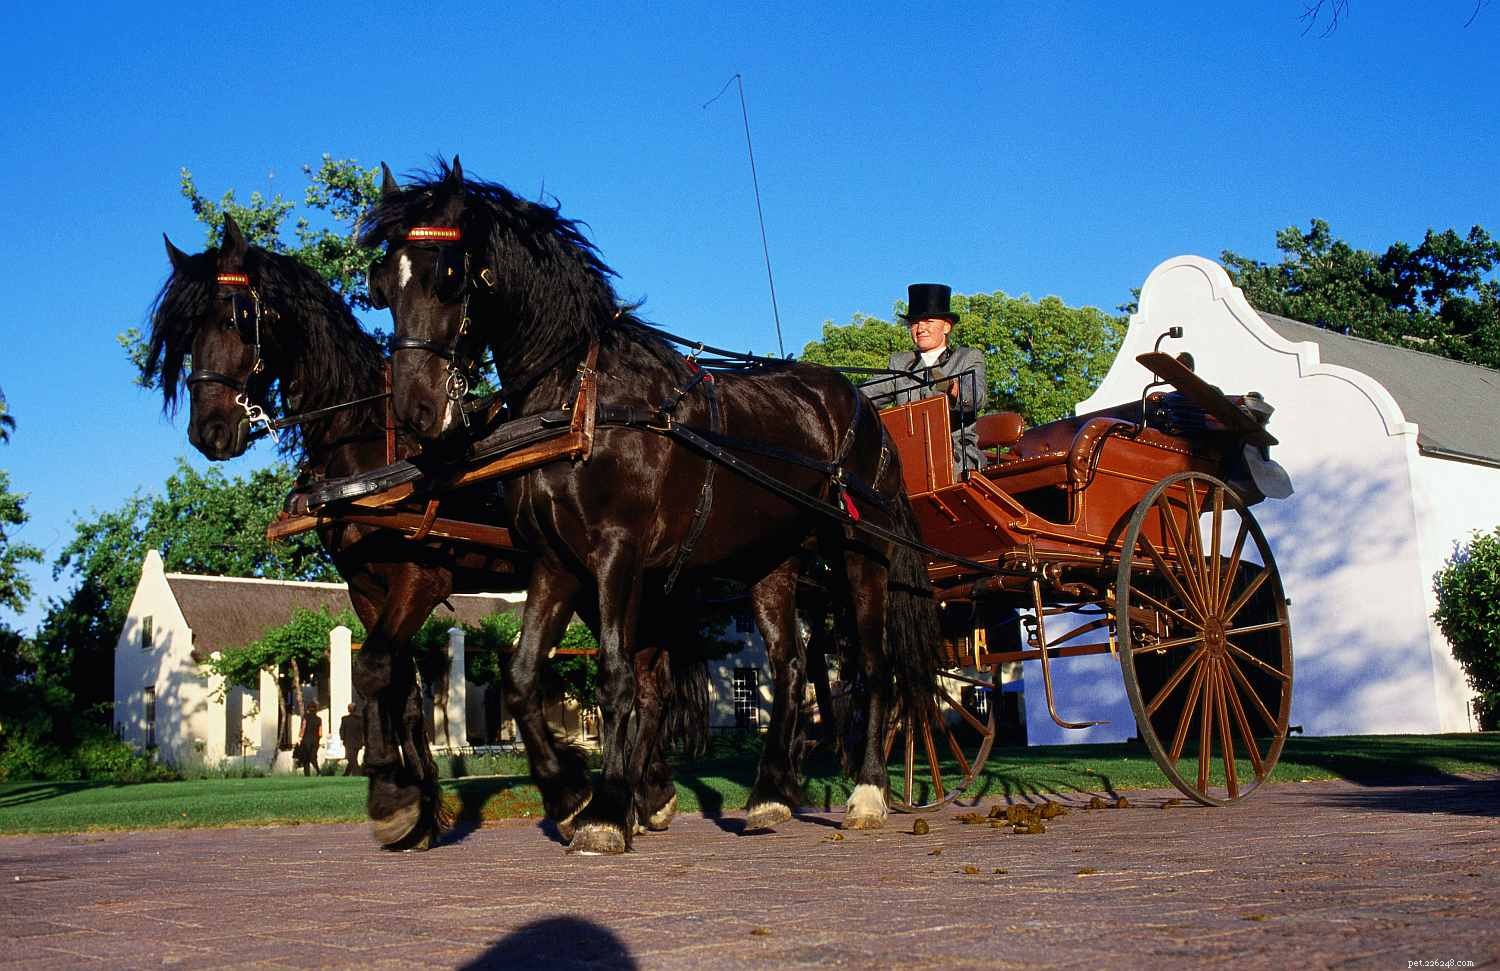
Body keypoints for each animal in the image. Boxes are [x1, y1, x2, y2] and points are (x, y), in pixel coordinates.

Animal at [143, 214, 705, 848]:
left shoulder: (421, 578)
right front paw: (419, 807)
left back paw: (640, 794)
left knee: (649, 678)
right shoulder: (367, 588)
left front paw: (391, 792)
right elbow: (402, 688)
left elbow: (372, 669)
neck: (368, 448)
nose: (208, 431)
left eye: (234, 315)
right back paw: (643, 791)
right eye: (185, 333)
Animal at [362, 158, 941, 854]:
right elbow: (524, 679)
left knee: (874, 666)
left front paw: (608, 811)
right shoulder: (555, 563)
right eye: (382, 284)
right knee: (790, 664)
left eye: (447, 277)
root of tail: (862, 406)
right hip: (771, 564)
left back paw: (868, 793)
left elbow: (616, 678)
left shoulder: (618, 554)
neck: (582, 402)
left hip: (861, 550)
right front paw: (569, 796)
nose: (415, 412)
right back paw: (770, 795)